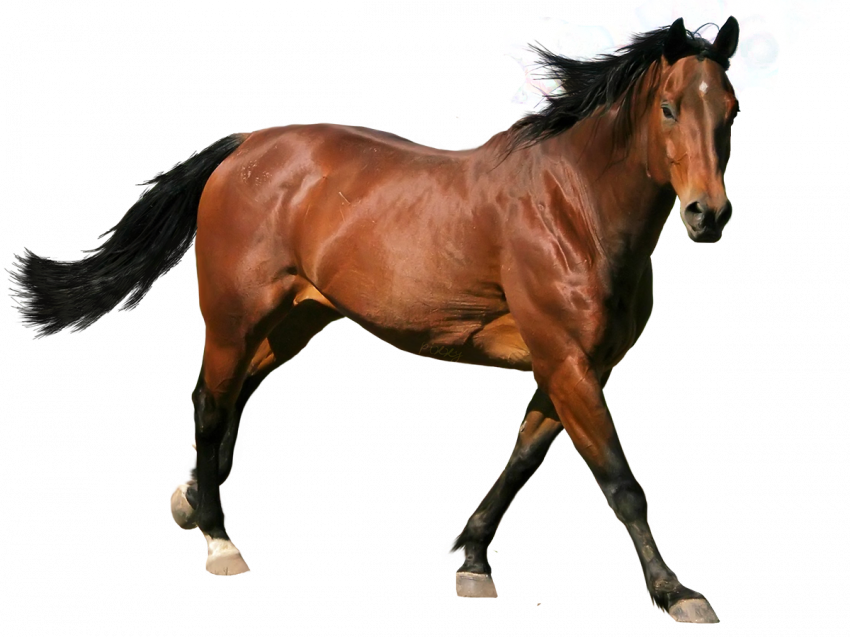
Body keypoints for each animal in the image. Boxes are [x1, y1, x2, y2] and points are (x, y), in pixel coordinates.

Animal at [6, 17, 740, 624]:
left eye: (730, 110)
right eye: (670, 107)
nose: (708, 214)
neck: (571, 207)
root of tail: (243, 146)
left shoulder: (572, 366)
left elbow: (523, 460)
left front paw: (470, 559)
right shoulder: (565, 359)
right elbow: (619, 478)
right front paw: (677, 593)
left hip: (293, 322)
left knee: (225, 395)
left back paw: (190, 497)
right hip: (236, 314)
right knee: (213, 402)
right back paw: (218, 538)